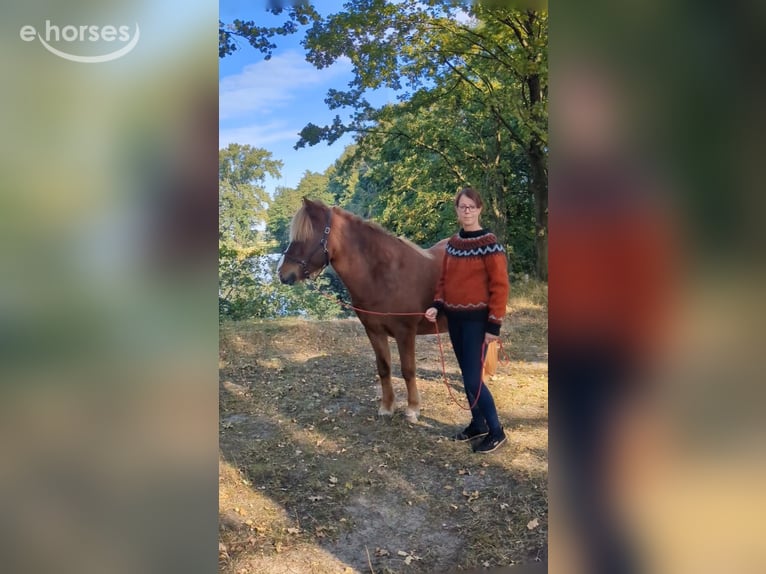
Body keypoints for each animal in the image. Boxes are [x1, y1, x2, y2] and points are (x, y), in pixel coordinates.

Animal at [277, 197, 449, 422]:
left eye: (303, 237)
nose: (282, 273)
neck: (385, 274)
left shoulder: (405, 332)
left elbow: (408, 370)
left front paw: (412, 409)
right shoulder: (374, 331)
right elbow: (384, 368)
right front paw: (387, 407)